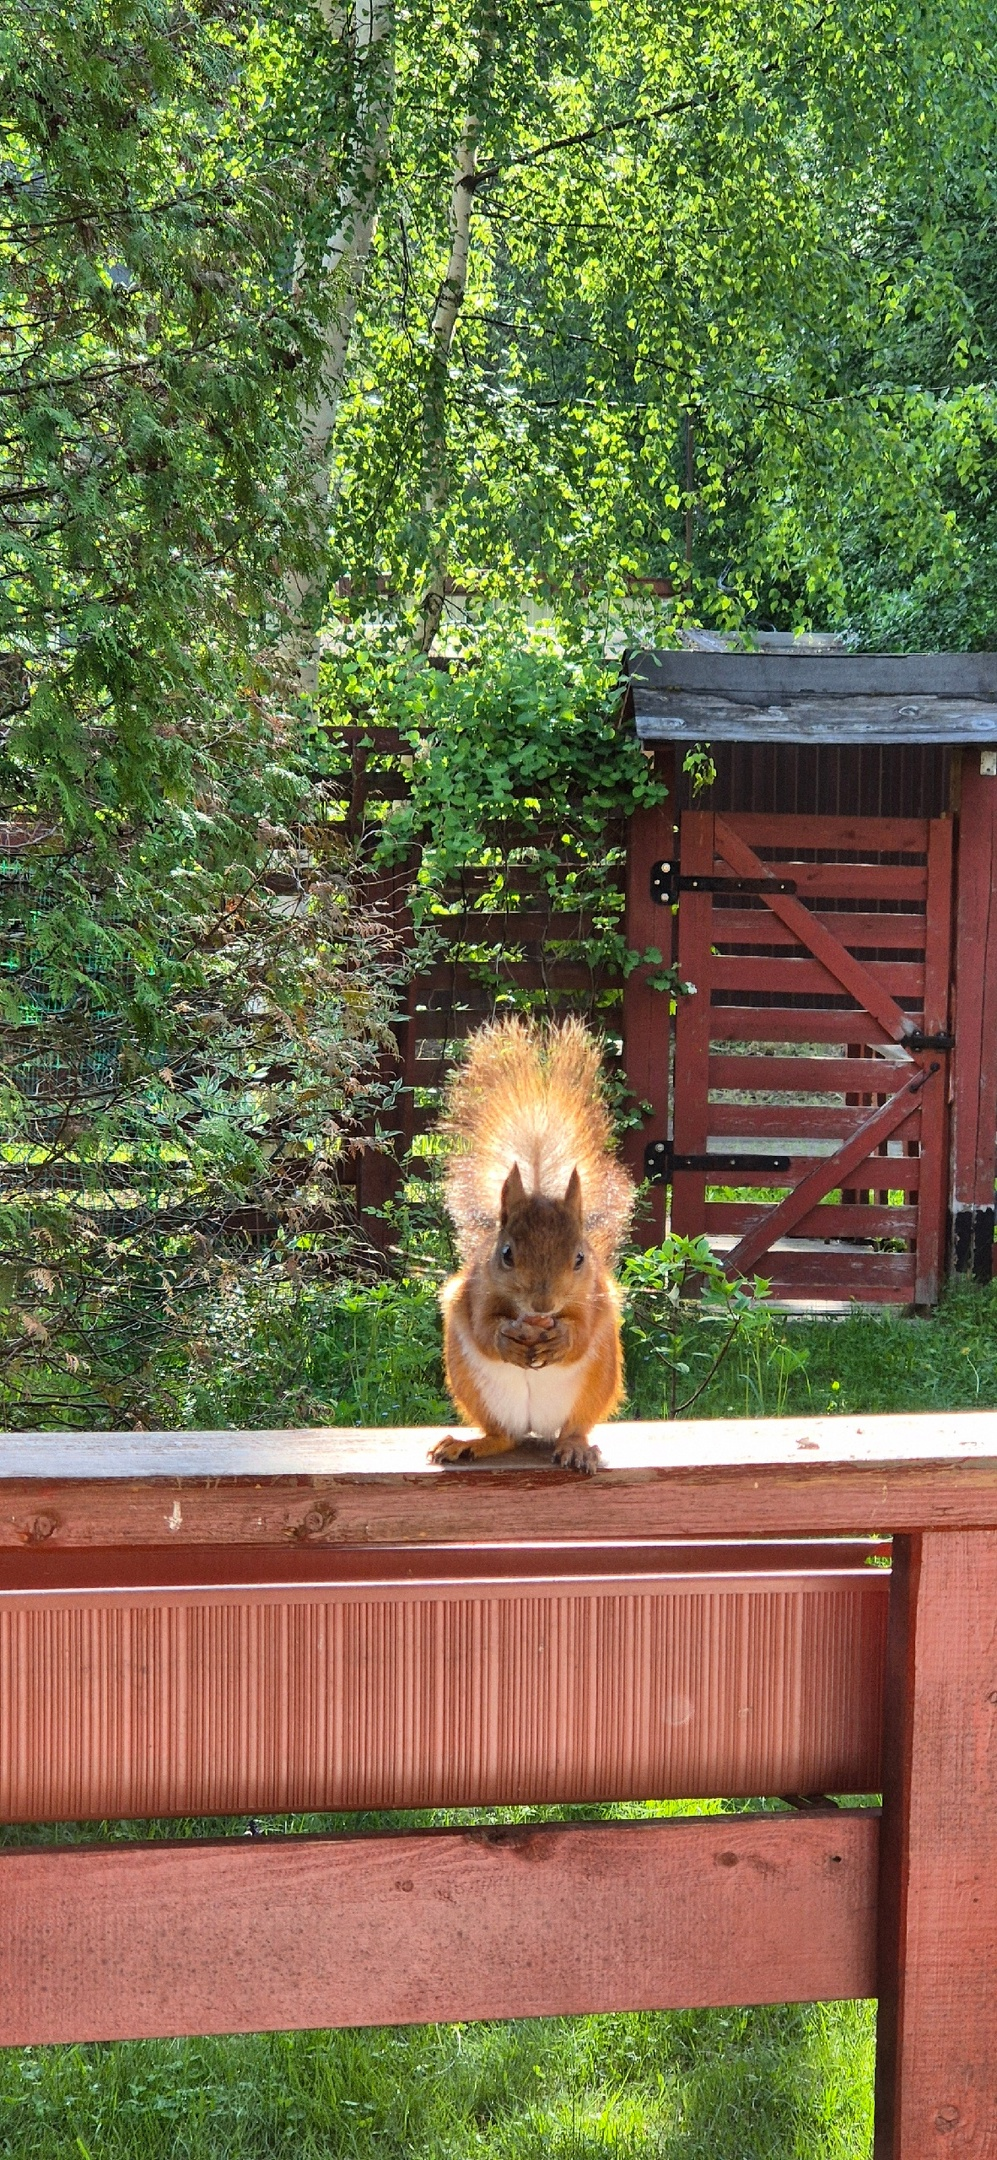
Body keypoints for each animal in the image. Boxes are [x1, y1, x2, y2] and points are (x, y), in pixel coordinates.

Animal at [429, 1019, 634, 1477]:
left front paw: (562, 1337)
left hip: (597, 1383)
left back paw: (576, 1447)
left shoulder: (595, 1295)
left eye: (579, 1258)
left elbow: (582, 1329)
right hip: (471, 1383)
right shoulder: (475, 1291)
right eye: (506, 1254)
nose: (543, 1306)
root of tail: (535, 1427)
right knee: (501, 1435)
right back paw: (469, 1444)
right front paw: (506, 1336)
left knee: (574, 1427)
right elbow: (484, 1327)